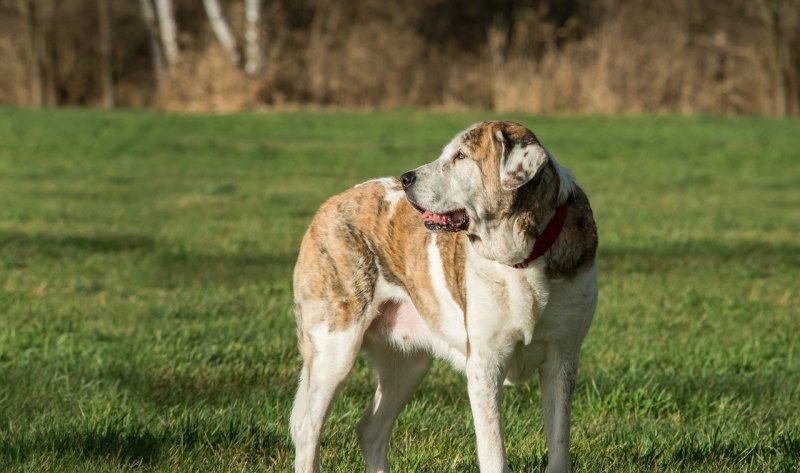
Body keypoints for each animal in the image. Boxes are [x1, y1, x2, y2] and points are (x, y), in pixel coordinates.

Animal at [290, 121, 596, 472]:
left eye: (460, 156)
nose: (406, 178)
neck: (522, 259)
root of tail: (330, 203)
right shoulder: (485, 364)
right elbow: (494, 453)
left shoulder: (563, 358)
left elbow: (559, 445)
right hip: (335, 346)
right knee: (307, 429)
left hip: (408, 365)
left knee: (370, 430)